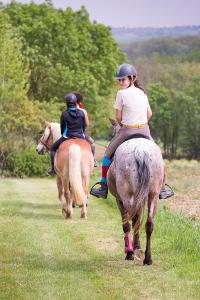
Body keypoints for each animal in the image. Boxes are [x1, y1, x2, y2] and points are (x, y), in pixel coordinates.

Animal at [108, 120, 164, 264]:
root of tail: (140, 150)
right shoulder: (143, 198)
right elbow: (139, 219)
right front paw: (137, 246)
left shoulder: (119, 199)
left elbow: (128, 223)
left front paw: (133, 249)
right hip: (153, 195)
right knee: (148, 224)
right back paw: (147, 258)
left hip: (127, 197)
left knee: (130, 222)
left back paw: (130, 252)